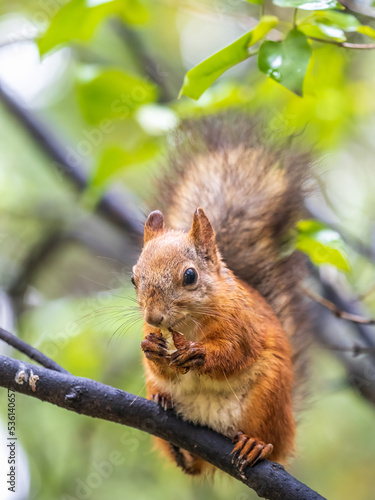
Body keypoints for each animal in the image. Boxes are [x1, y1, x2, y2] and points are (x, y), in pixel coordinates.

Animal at [131, 114, 312, 476]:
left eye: (189, 276)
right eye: (133, 279)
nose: (153, 317)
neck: (187, 325)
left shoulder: (243, 326)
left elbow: (233, 354)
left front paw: (197, 353)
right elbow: (161, 366)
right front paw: (151, 347)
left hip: (269, 395)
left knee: (271, 444)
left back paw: (256, 444)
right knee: (190, 465)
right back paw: (174, 433)